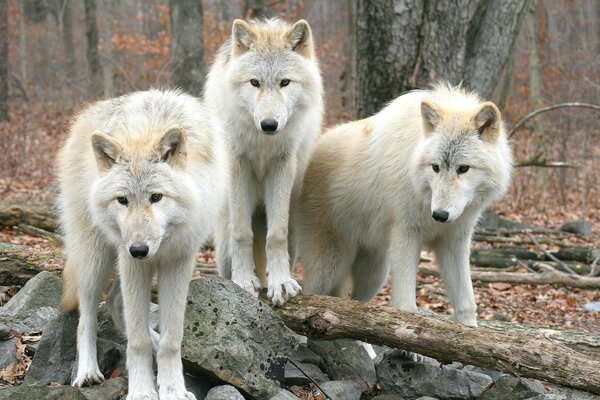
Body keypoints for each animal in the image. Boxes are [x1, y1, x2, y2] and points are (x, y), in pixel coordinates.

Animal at [59, 90, 227, 400]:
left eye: (156, 197)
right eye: (122, 200)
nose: (139, 250)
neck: (147, 129)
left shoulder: (178, 262)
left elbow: (172, 339)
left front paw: (173, 389)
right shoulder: (131, 263)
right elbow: (137, 341)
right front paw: (142, 391)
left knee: (115, 301)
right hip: (96, 259)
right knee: (87, 315)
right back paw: (87, 372)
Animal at [205, 18, 324, 306]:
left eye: (285, 82)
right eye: (254, 83)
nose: (269, 124)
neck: (262, 141)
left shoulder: (282, 165)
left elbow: (276, 236)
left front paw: (280, 284)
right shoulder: (238, 165)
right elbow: (242, 233)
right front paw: (243, 282)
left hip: (293, 229)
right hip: (223, 242)